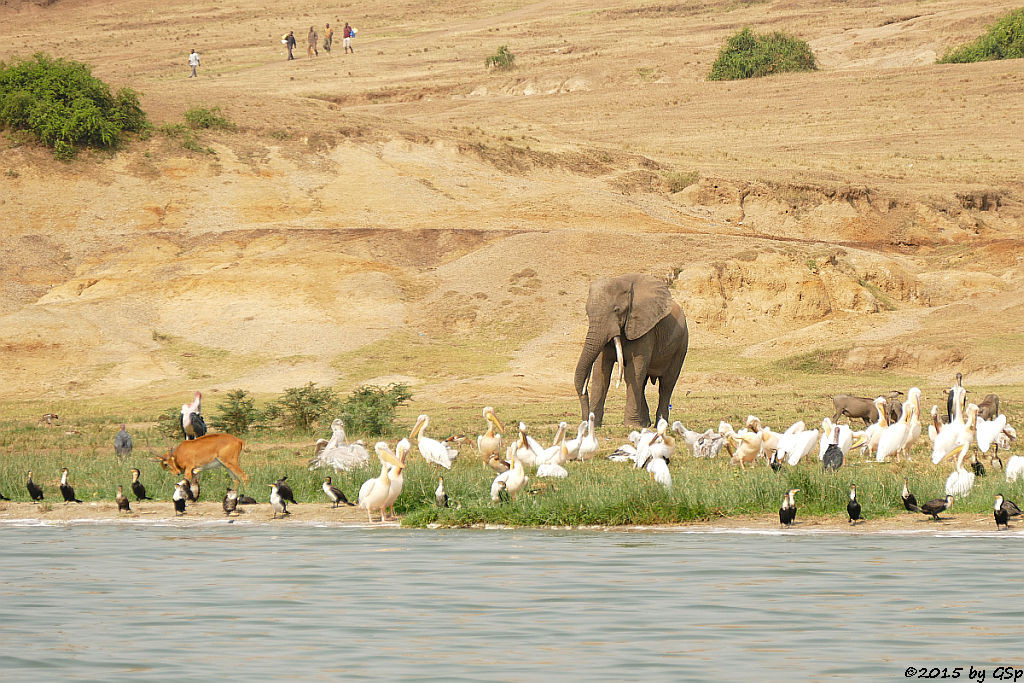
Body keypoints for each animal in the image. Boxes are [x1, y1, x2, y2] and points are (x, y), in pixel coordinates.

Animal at [573, 272, 692, 428]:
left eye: (617, 310)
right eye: (587, 313)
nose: (586, 421)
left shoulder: (644, 329)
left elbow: (632, 372)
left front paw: (630, 426)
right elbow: (601, 373)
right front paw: (595, 425)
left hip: (681, 345)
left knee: (666, 384)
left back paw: (660, 424)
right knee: (642, 383)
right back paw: (644, 424)